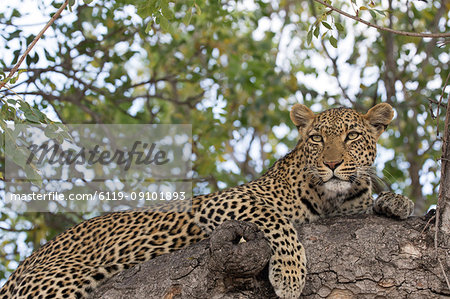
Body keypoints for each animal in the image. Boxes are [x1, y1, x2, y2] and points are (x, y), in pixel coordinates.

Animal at [0, 102, 414, 298]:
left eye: (352, 137)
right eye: (316, 138)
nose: (331, 164)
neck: (330, 200)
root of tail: (23, 266)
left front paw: (397, 202)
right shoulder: (222, 201)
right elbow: (277, 221)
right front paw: (290, 275)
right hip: (53, 284)